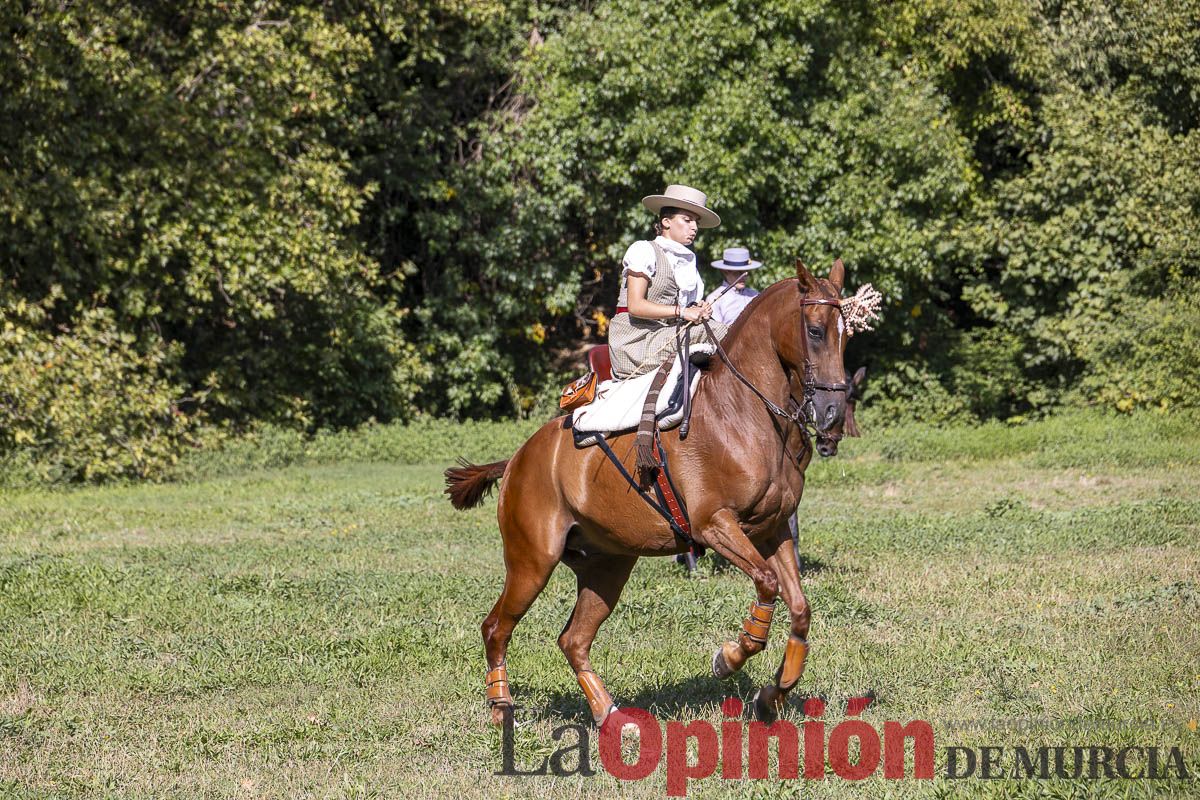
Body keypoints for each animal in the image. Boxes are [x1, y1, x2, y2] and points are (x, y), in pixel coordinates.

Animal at [445, 259, 853, 726]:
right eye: (816, 331)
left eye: (848, 334)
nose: (833, 414)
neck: (744, 413)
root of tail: (515, 459)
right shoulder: (715, 525)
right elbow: (767, 584)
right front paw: (728, 657)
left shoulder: (772, 530)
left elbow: (800, 608)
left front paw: (774, 694)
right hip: (532, 562)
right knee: (496, 627)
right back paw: (501, 708)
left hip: (607, 566)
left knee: (573, 639)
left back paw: (611, 716)